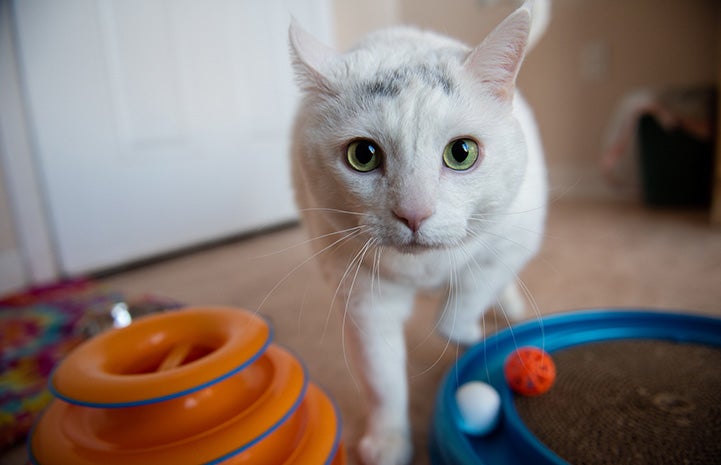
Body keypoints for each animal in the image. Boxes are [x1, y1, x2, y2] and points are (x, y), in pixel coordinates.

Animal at [290, 1, 548, 462]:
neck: (425, 270)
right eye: (362, 155)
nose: (414, 213)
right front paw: (388, 442)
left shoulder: (509, 247)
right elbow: (382, 379)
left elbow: (464, 300)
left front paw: (468, 334)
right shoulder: (364, 299)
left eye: (462, 152)